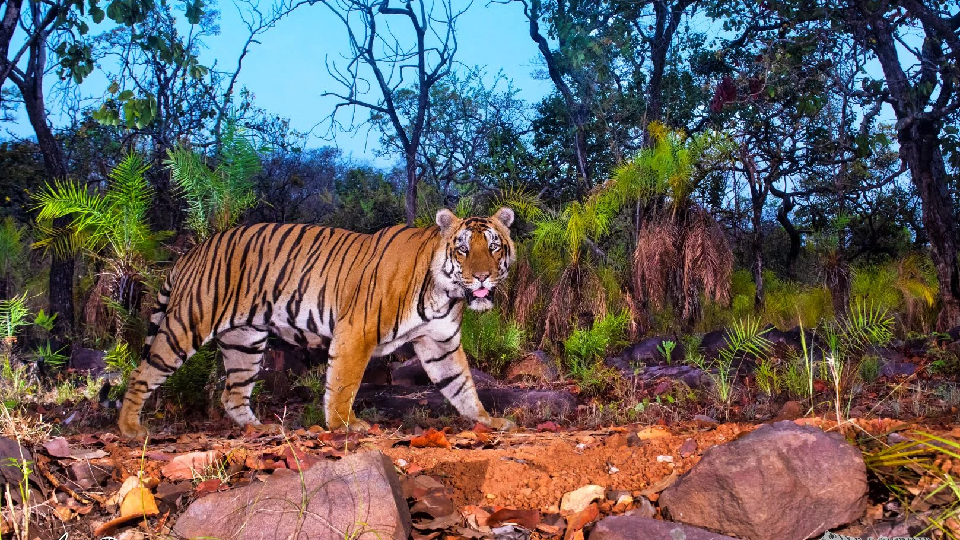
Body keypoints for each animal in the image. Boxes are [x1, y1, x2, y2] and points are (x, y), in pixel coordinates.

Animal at [118, 208, 516, 438]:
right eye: (463, 249)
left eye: (493, 247)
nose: (482, 277)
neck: (444, 293)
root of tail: (191, 253)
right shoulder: (355, 331)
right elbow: (342, 382)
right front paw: (343, 425)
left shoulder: (440, 344)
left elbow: (461, 385)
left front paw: (488, 420)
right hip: (187, 324)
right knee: (141, 372)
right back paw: (130, 428)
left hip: (244, 341)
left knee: (232, 393)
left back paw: (258, 429)